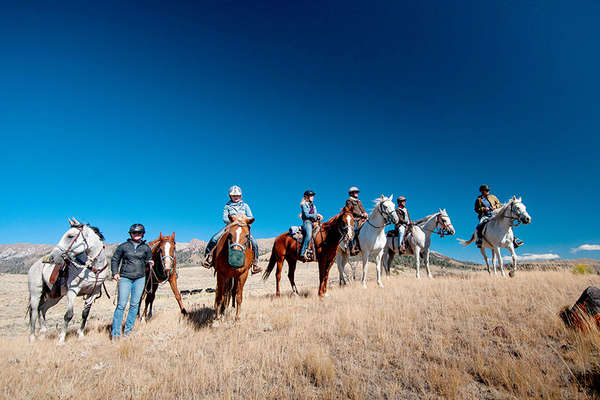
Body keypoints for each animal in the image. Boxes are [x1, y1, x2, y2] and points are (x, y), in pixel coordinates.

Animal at [27, 217, 109, 346]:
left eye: (70, 236)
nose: (52, 257)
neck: (92, 268)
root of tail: (35, 265)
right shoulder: (72, 291)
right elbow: (68, 315)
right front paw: (61, 339)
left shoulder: (93, 293)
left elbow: (85, 314)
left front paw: (80, 335)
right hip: (36, 294)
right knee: (34, 312)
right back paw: (32, 338)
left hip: (55, 296)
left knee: (42, 309)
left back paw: (42, 334)